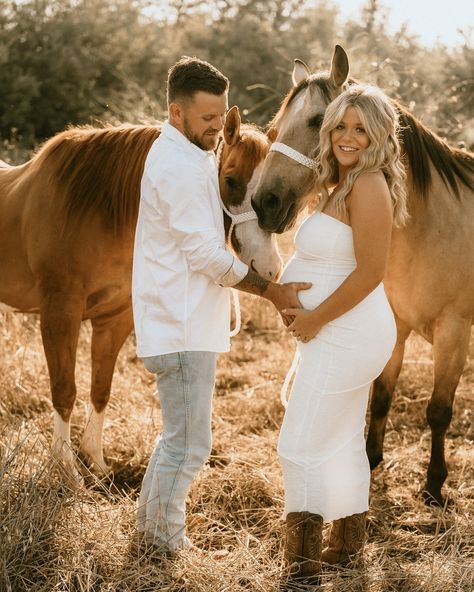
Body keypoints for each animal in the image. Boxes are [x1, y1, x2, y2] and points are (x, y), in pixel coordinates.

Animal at [0, 106, 282, 476]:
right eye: (232, 180)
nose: (270, 267)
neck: (91, 209)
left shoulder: (114, 320)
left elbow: (100, 389)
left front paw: (96, 463)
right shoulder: (59, 313)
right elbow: (64, 391)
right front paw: (67, 470)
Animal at [252, 46, 474, 506]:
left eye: (318, 119)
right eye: (276, 124)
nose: (264, 202)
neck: (431, 225)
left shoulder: (454, 330)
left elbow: (438, 410)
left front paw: (434, 485)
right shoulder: (397, 325)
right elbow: (383, 396)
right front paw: (370, 463)